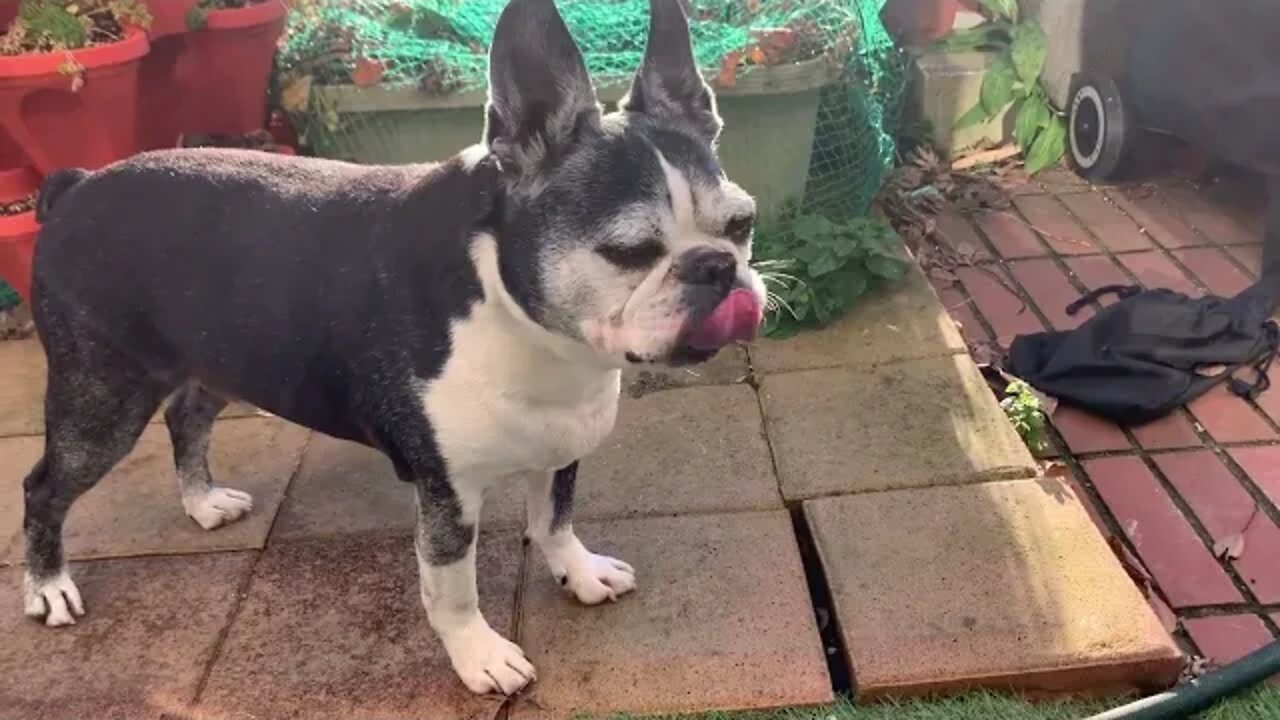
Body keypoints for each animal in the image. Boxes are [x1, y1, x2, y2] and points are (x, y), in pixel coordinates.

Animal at [20, 0, 762, 691]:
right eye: (629, 252)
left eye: (742, 225)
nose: (718, 267)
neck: (527, 326)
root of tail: (77, 185)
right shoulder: (447, 493)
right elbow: (452, 586)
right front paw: (479, 656)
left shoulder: (561, 443)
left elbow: (555, 518)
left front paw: (578, 573)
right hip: (102, 401)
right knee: (44, 486)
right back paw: (48, 586)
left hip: (217, 358)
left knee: (187, 416)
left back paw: (202, 502)